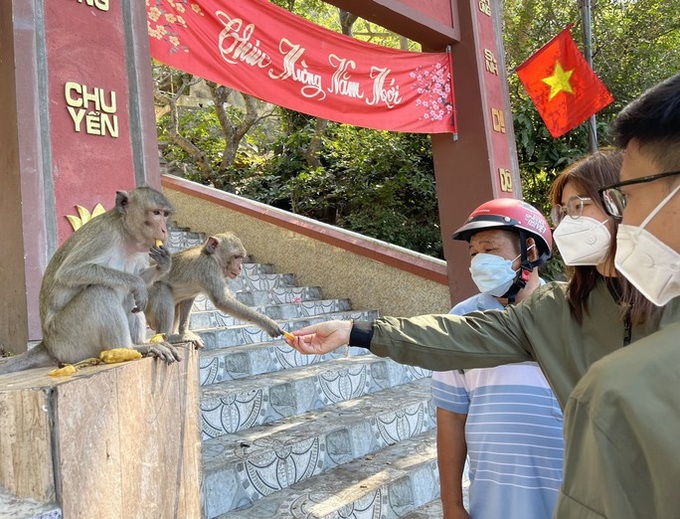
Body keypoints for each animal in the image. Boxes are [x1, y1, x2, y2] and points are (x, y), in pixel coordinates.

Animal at [0, 187, 181, 374]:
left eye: (166, 214)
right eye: (156, 213)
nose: (164, 231)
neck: (126, 235)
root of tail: (47, 344)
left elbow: (141, 277)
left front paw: (163, 265)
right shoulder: (105, 237)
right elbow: (69, 272)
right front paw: (136, 282)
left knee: (130, 296)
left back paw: (139, 343)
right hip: (67, 340)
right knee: (100, 292)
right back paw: (131, 348)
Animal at [146, 231, 284, 346]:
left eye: (240, 257)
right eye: (236, 257)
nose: (240, 267)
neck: (209, 255)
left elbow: (189, 299)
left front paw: (184, 332)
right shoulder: (209, 268)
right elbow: (222, 301)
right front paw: (268, 323)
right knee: (161, 289)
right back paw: (168, 337)